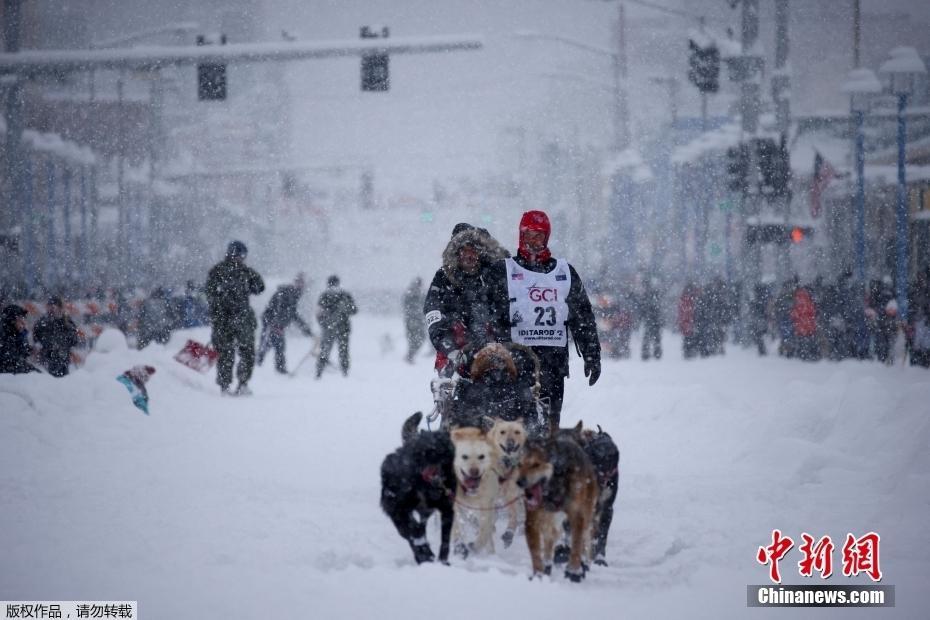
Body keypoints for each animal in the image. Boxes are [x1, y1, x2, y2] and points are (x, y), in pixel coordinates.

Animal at [378, 410, 454, 564]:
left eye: (441, 451)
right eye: (422, 452)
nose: (429, 471)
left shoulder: (447, 509)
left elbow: (445, 540)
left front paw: (443, 562)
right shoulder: (398, 509)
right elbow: (414, 532)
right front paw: (425, 553)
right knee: (412, 532)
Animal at [450, 426, 500, 556]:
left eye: (481, 456)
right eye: (464, 456)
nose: (474, 471)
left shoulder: (486, 504)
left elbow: (484, 531)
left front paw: (475, 547)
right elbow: (456, 527)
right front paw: (459, 546)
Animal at [516, 434, 596, 580]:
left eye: (536, 464)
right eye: (520, 464)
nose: (520, 482)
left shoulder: (577, 516)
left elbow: (576, 545)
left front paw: (573, 571)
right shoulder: (532, 520)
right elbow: (535, 551)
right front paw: (538, 574)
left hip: (587, 516)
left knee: (586, 539)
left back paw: (584, 564)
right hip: (549, 521)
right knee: (549, 541)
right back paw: (547, 565)